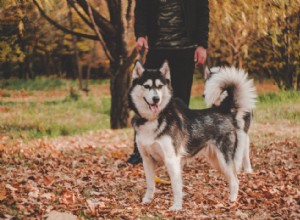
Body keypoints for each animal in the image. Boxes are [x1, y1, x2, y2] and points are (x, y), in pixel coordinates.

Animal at [127, 61, 256, 211]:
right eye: (147, 86)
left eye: (159, 86)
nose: (156, 99)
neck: (153, 120)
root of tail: (223, 109)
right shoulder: (147, 159)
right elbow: (150, 184)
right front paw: (147, 200)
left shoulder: (172, 160)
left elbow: (176, 187)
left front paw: (176, 207)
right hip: (216, 161)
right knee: (231, 178)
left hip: (224, 159)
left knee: (235, 180)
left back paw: (232, 201)